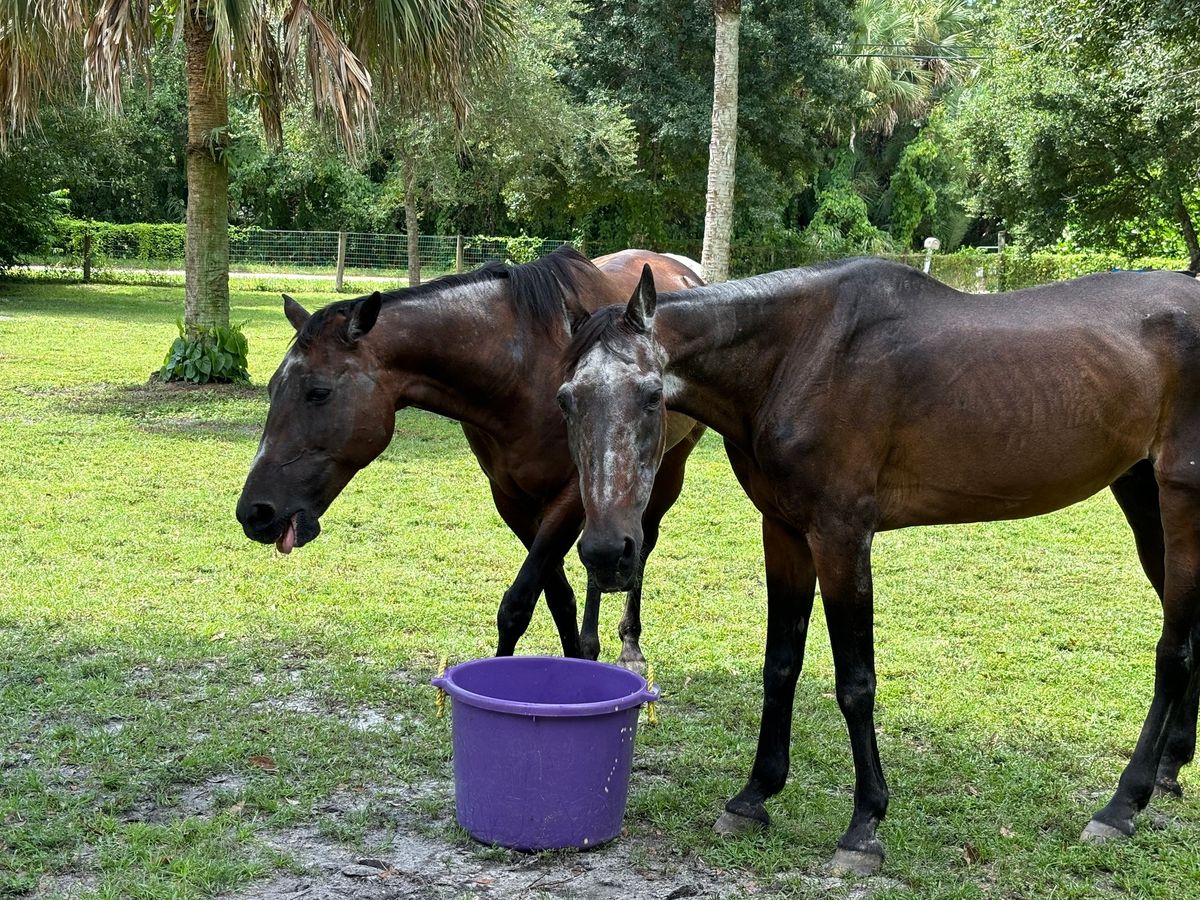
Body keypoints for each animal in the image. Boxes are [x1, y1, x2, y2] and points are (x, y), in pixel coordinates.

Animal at [235, 247, 705, 672]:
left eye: (318, 392)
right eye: (273, 388)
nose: (254, 512)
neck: (524, 369)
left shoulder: (570, 494)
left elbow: (518, 603)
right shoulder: (512, 499)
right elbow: (556, 597)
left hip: (665, 472)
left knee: (640, 546)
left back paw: (630, 644)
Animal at [556, 259, 1200, 873]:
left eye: (650, 395)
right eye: (566, 400)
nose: (608, 553)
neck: (798, 356)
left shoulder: (842, 537)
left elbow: (855, 682)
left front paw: (864, 827)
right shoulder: (785, 531)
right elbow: (780, 665)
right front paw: (753, 797)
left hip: (1179, 501)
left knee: (1173, 652)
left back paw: (1122, 806)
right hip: (1142, 498)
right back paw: (1168, 773)